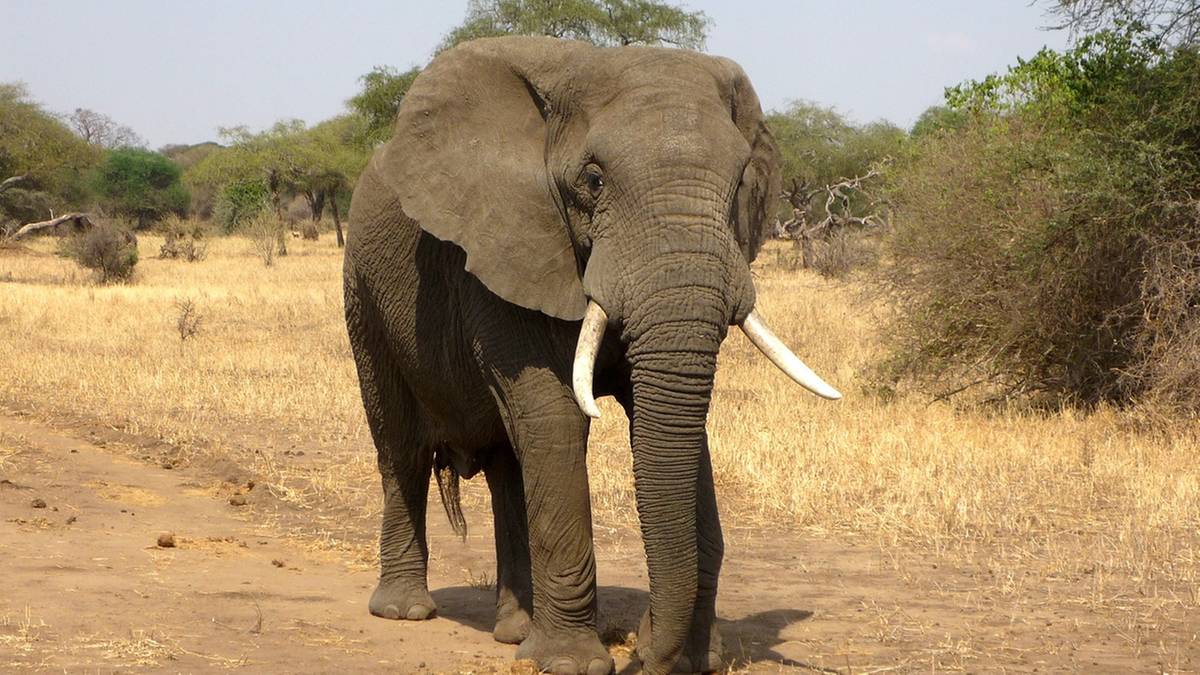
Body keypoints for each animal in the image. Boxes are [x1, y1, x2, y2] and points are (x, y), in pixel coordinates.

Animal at [343, 35, 840, 672]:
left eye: (738, 187)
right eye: (594, 180)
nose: (647, 657)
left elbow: (675, 425)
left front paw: (692, 658)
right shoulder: (507, 247)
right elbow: (556, 416)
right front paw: (572, 664)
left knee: (509, 465)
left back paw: (514, 631)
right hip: (363, 294)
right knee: (401, 446)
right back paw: (406, 611)